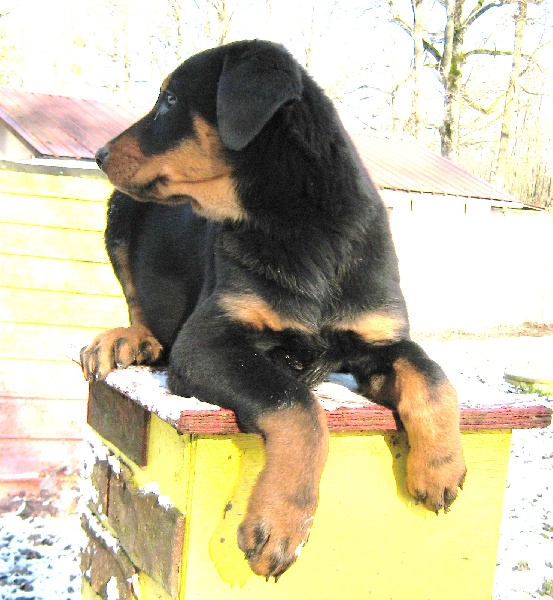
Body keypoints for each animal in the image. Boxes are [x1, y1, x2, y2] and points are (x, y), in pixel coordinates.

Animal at [81, 40, 466, 580]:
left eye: (170, 101)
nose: (98, 154)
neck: (298, 225)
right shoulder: (208, 343)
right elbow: (297, 406)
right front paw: (281, 525)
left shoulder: (380, 338)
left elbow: (431, 375)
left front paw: (440, 467)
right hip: (120, 214)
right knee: (140, 306)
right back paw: (128, 340)